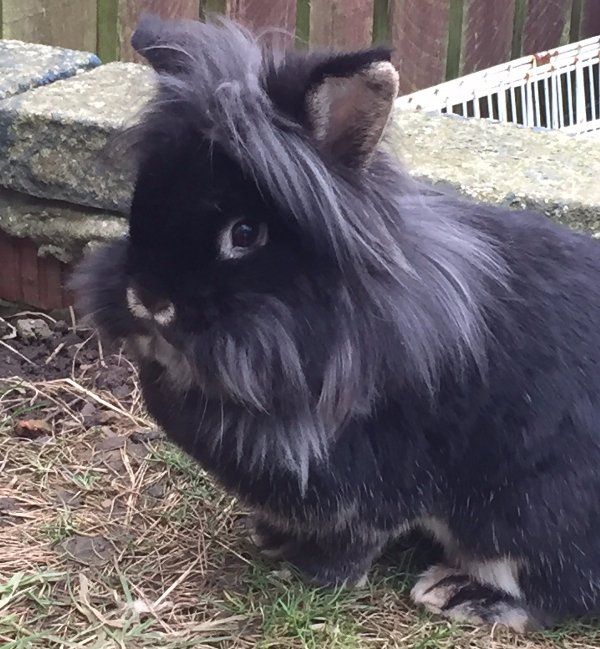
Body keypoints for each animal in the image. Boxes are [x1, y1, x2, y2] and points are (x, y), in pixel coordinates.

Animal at [73, 14, 600, 632]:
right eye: (140, 204)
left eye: (245, 234)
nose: (147, 300)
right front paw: (271, 537)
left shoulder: (377, 481)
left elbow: (357, 537)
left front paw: (318, 573)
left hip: (527, 511)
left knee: (557, 588)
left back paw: (459, 592)